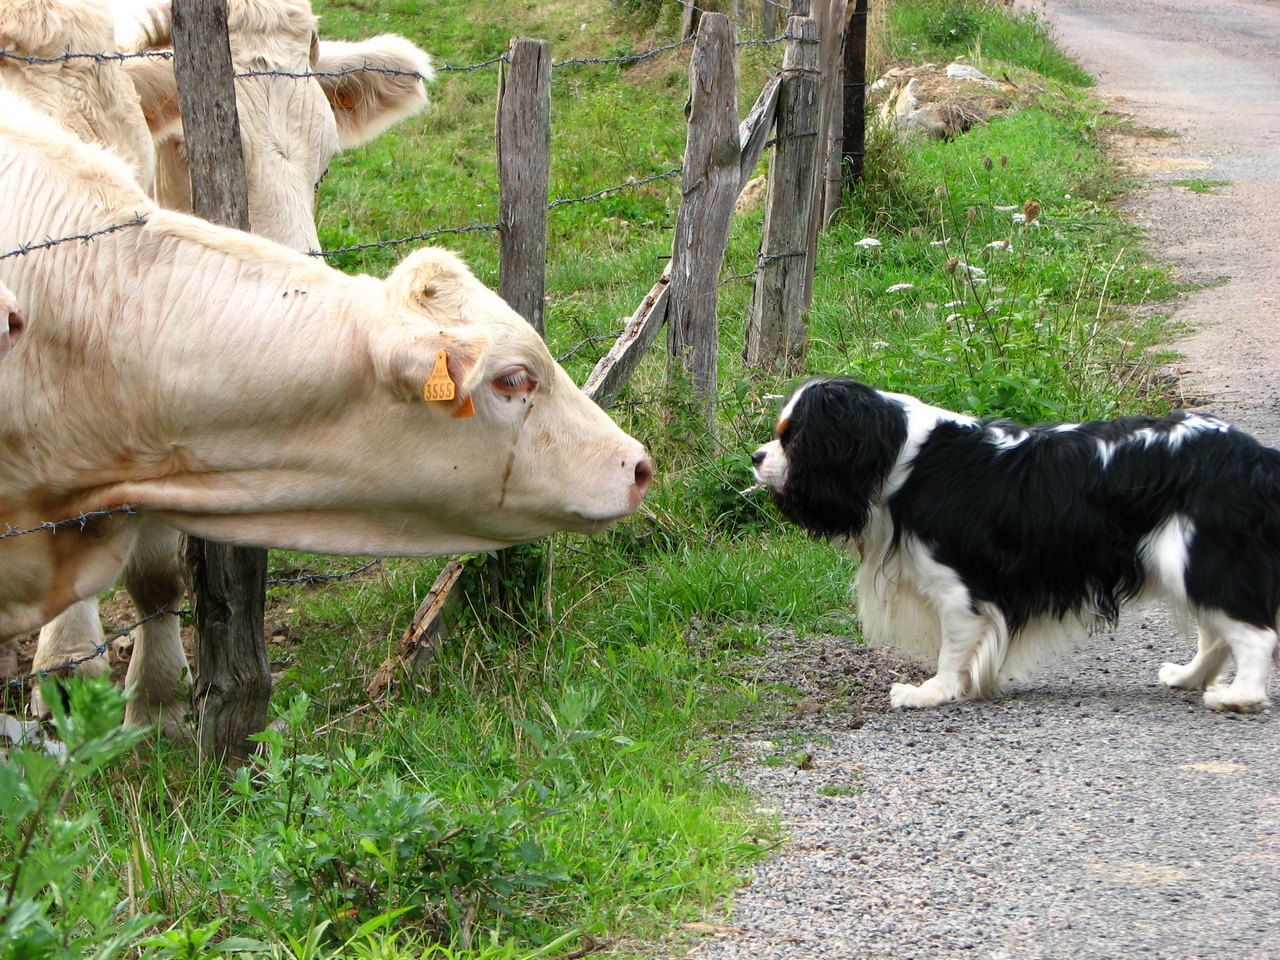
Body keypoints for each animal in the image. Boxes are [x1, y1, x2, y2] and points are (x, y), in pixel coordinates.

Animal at [747, 376, 1280, 716]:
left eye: (790, 440)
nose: (755, 456)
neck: (902, 458)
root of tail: (1257, 457)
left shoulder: (959, 590)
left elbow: (952, 647)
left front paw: (932, 692)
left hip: (1199, 557)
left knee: (1254, 636)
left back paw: (1239, 697)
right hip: (1192, 561)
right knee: (1216, 633)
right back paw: (1189, 677)